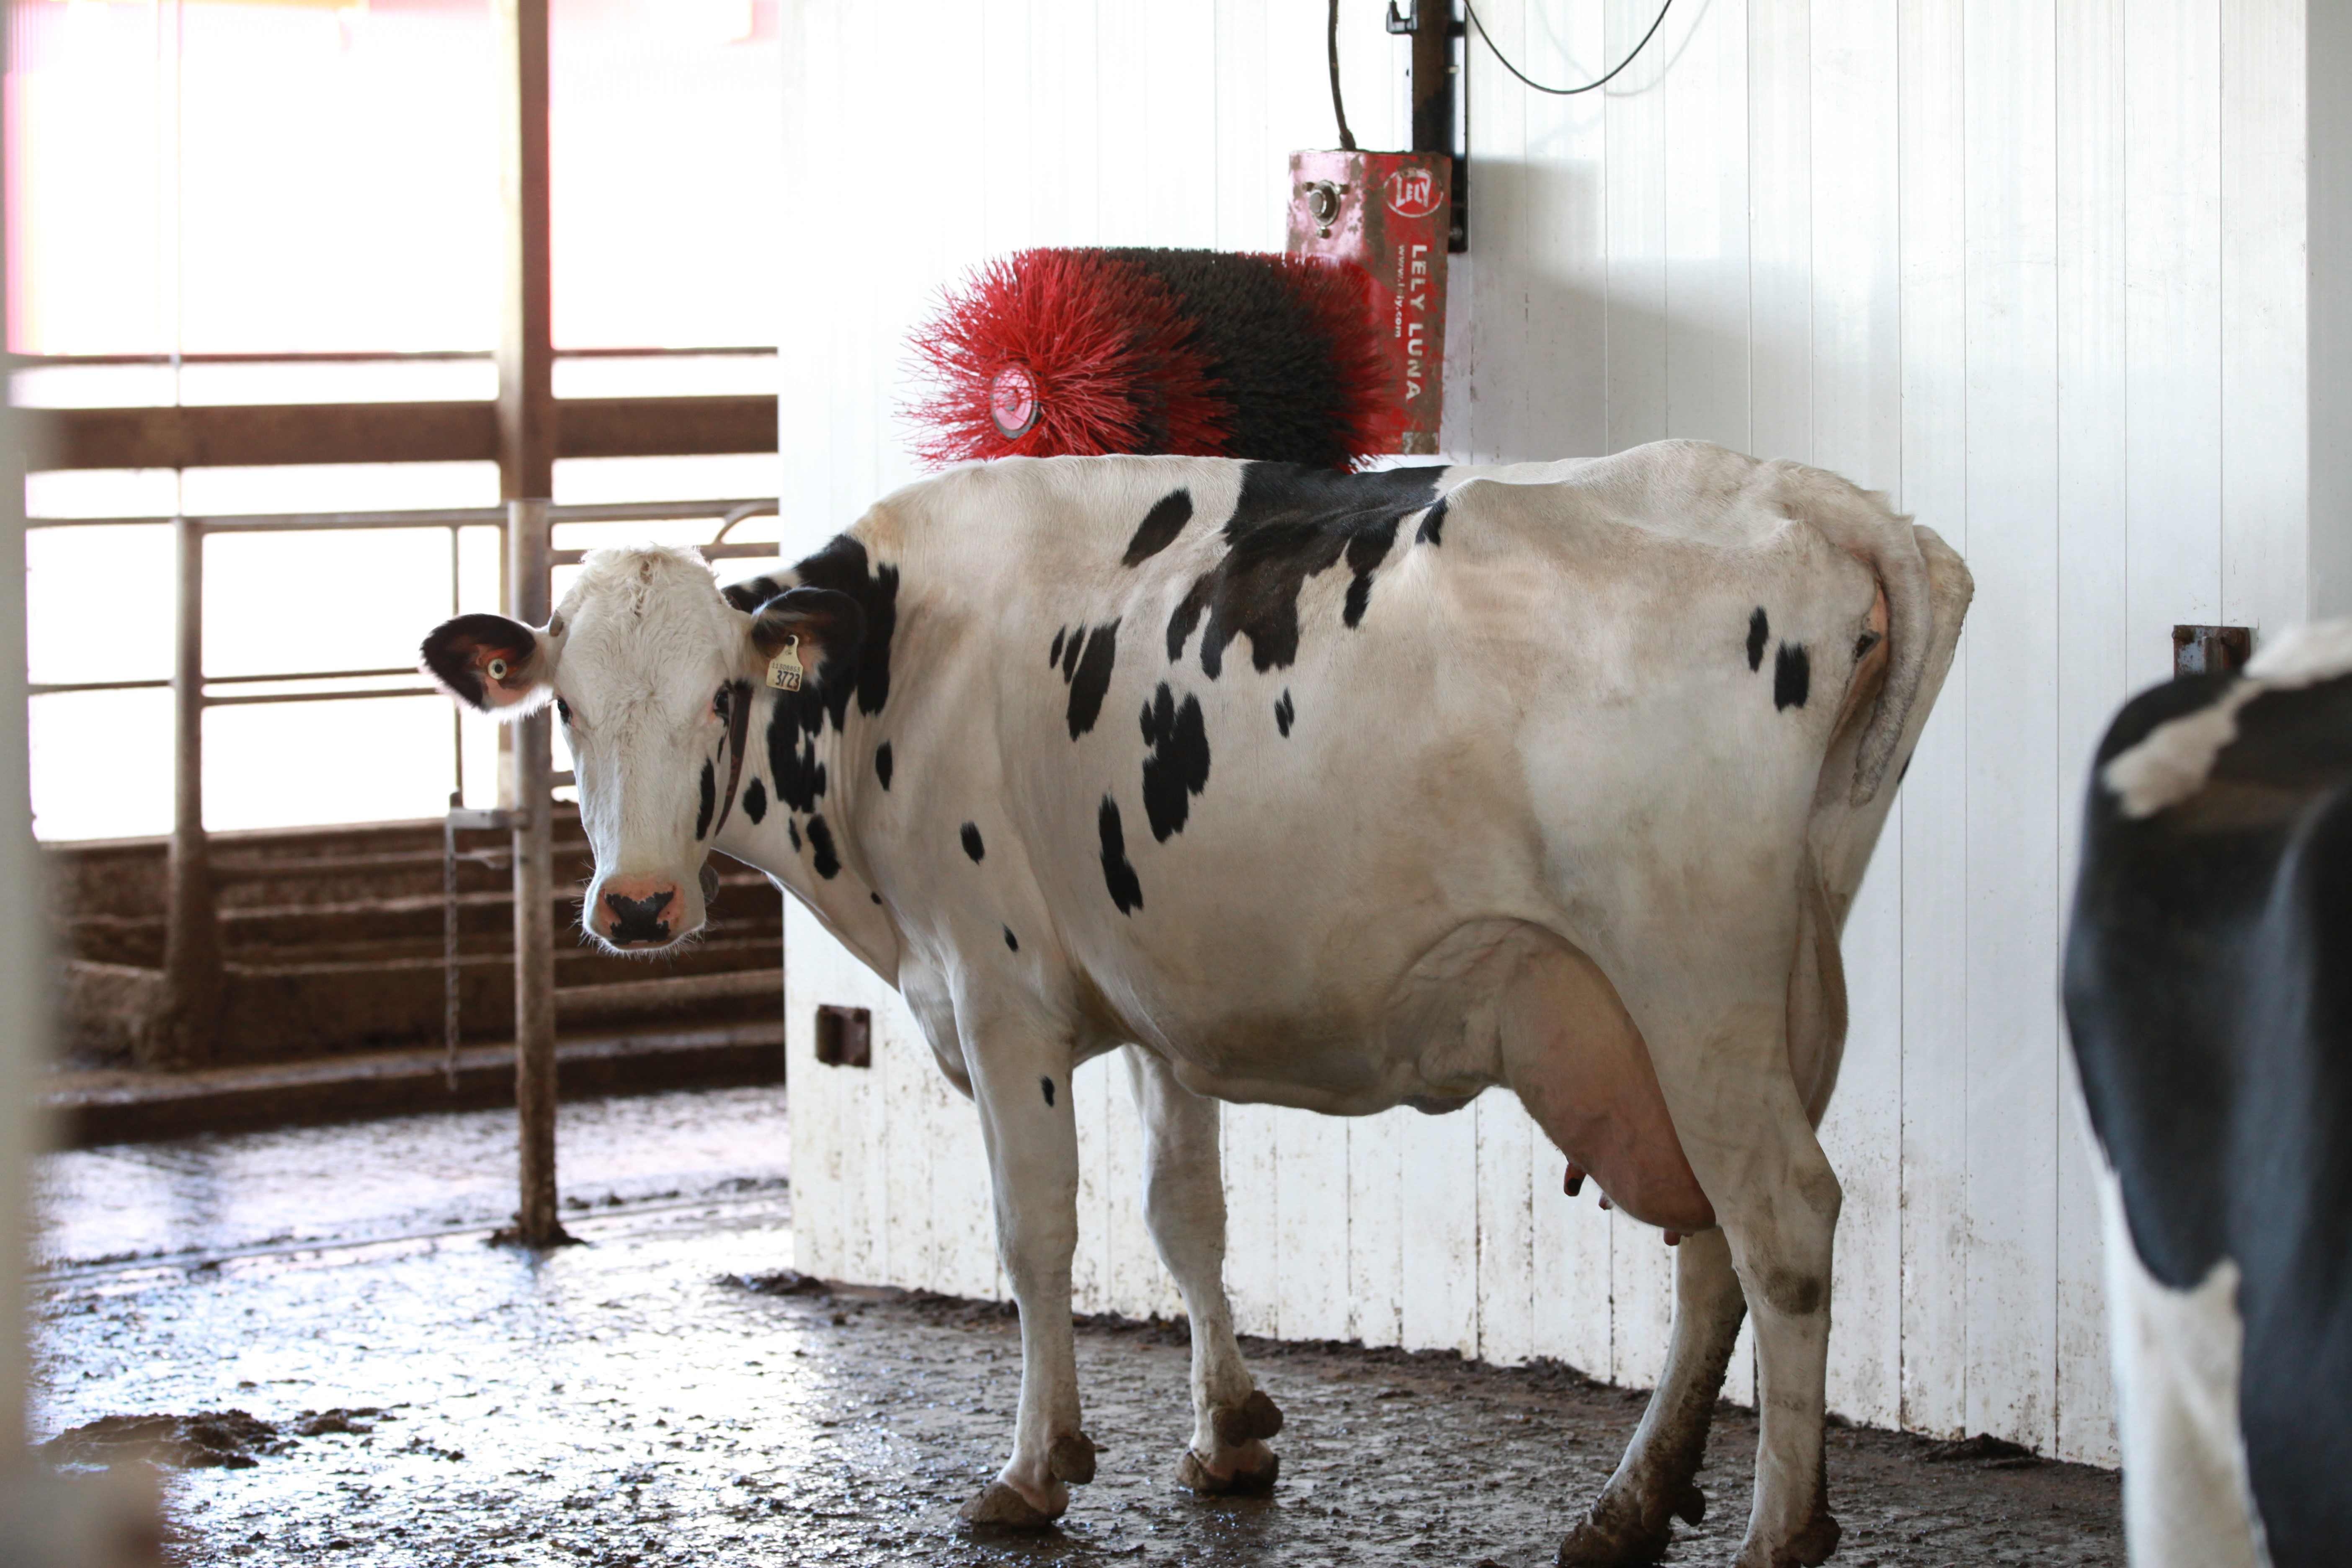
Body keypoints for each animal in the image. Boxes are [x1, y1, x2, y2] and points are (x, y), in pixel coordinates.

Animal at [423, 440, 1971, 1568]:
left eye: (719, 701)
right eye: (569, 711)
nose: (635, 906)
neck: (904, 670)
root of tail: (1803, 494)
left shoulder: (999, 993)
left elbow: (1039, 1231)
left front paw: (1034, 1468)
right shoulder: (1151, 994)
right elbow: (1186, 1215)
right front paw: (1228, 1435)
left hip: (1691, 972)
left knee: (1779, 1223)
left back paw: (1775, 1531)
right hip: (1741, 997)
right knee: (1714, 1245)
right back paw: (1632, 1502)